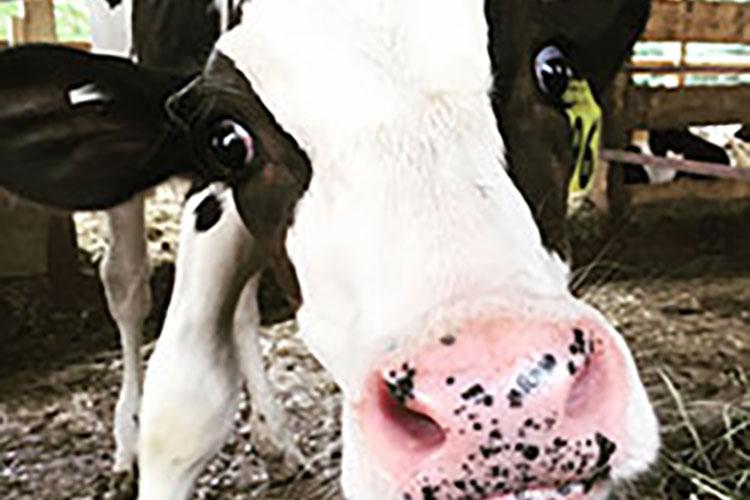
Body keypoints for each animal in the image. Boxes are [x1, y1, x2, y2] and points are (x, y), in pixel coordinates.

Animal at [0, 0, 656, 500]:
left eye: (553, 68)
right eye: (227, 139)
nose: (498, 396)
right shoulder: (208, 189)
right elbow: (182, 408)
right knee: (127, 284)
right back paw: (124, 445)